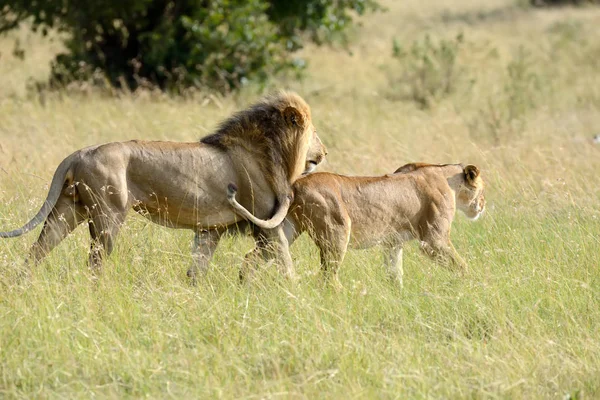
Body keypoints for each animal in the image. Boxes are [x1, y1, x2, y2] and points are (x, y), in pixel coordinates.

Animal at [1, 91, 328, 280]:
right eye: (315, 133)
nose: (325, 153)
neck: (269, 149)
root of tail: (80, 153)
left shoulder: (210, 230)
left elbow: (198, 268)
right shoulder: (265, 220)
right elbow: (285, 259)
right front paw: (295, 294)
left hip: (69, 209)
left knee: (37, 250)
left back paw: (22, 285)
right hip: (108, 215)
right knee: (94, 261)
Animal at [227, 164, 486, 290]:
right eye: (483, 189)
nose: (483, 205)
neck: (447, 176)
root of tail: (296, 184)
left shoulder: (393, 243)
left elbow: (395, 272)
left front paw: (398, 295)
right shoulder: (433, 240)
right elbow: (461, 265)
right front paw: (472, 285)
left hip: (286, 232)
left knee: (251, 257)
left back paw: (243, 288)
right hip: (337, 231)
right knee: (327, 277)